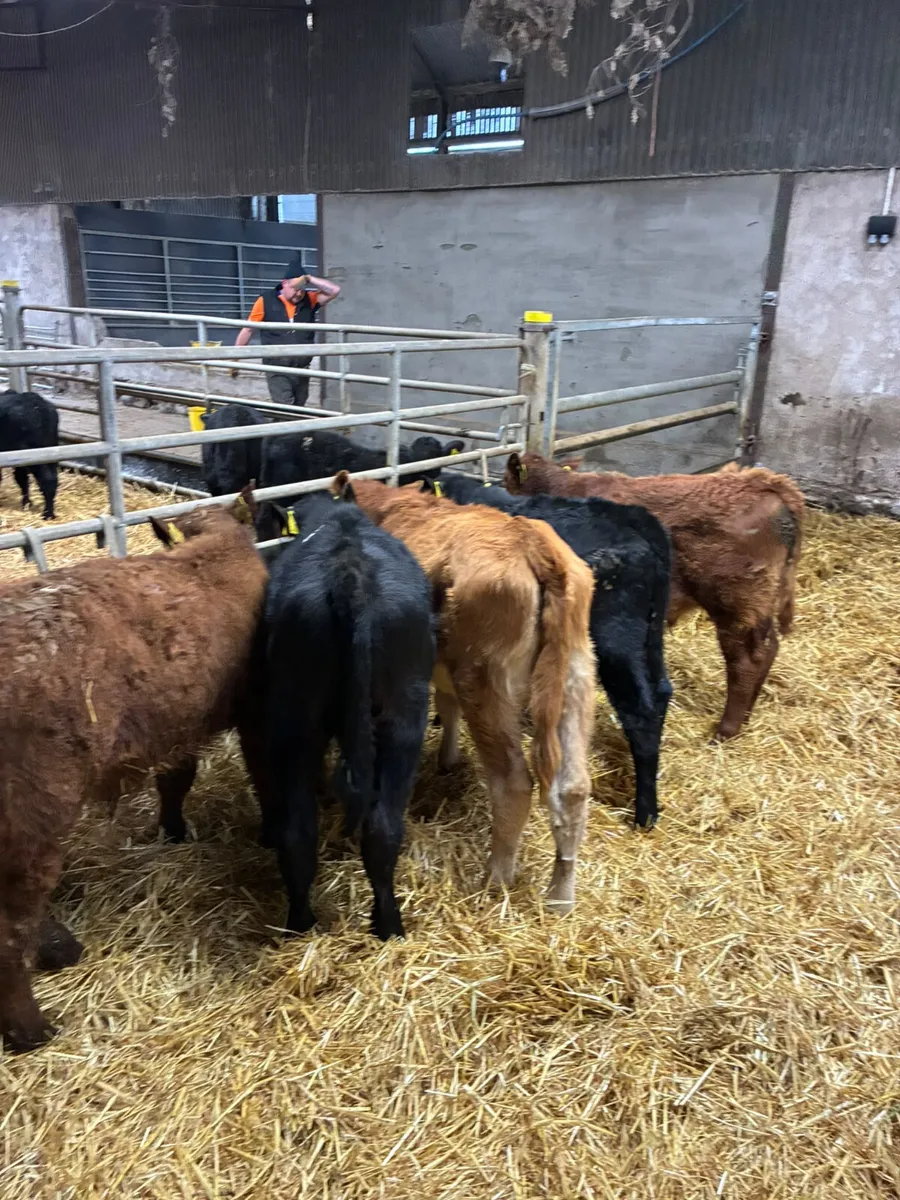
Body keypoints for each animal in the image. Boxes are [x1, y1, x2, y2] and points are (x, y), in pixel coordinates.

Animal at [0, 489, 269, 1053]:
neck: (211, 555)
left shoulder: (178, 724)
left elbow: (175, 780)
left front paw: (171, 831)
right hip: (35, 810)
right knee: (11, 928)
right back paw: (30, 1027)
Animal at [262, 493, 435, 940]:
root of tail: (349, 571)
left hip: (302, 720)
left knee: (308, 831)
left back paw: (309, 924)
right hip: (400, 719)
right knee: (376, 827)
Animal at [331, 471, 597, 915]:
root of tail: (532, 542)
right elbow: (446, 703)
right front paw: (448, 758)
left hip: (487, 681)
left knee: (513, 784)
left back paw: (495, 881)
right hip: (576, 676)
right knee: (573, 788)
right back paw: (561, 897)